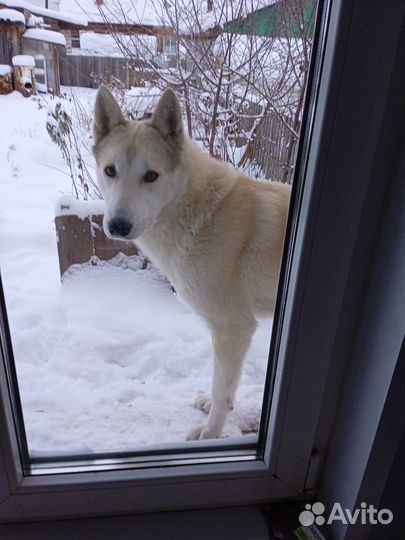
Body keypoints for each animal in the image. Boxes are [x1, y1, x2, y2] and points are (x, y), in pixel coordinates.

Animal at [92, 85, 290, 438]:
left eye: (151, 176)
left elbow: (221, 388)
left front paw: (210, 433)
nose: (118, 226)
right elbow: (225, 385)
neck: (198, 210)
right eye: (110, 171)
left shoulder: (233, 328)